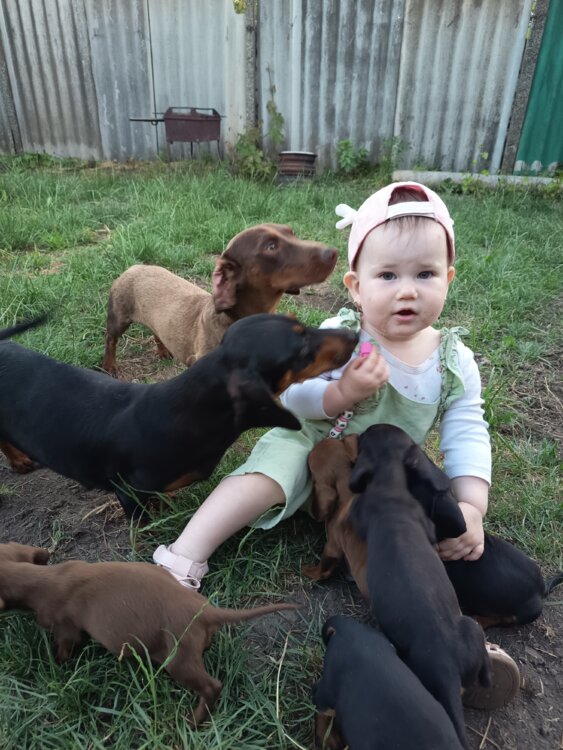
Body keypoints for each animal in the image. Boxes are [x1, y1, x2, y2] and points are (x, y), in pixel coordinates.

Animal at [0, 542, 297, 727]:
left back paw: (192, 721)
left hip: (178, 657)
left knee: (212, 686)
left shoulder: (65, 627)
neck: (45, 578)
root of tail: (204, 610)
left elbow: (65, 647)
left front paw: (52, 665)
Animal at [102, 223, 339, 373]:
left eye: (292, 233)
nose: (333, 252)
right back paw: (110, 366)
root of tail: (133, 266)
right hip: (118, 318)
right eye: (271, 246)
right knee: (110, 340)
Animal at [347, 424, 491, 747]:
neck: (390, 483)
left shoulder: (358, 512)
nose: (361, 431)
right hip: (471, 628)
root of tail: (446, 664)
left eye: (366, 436)